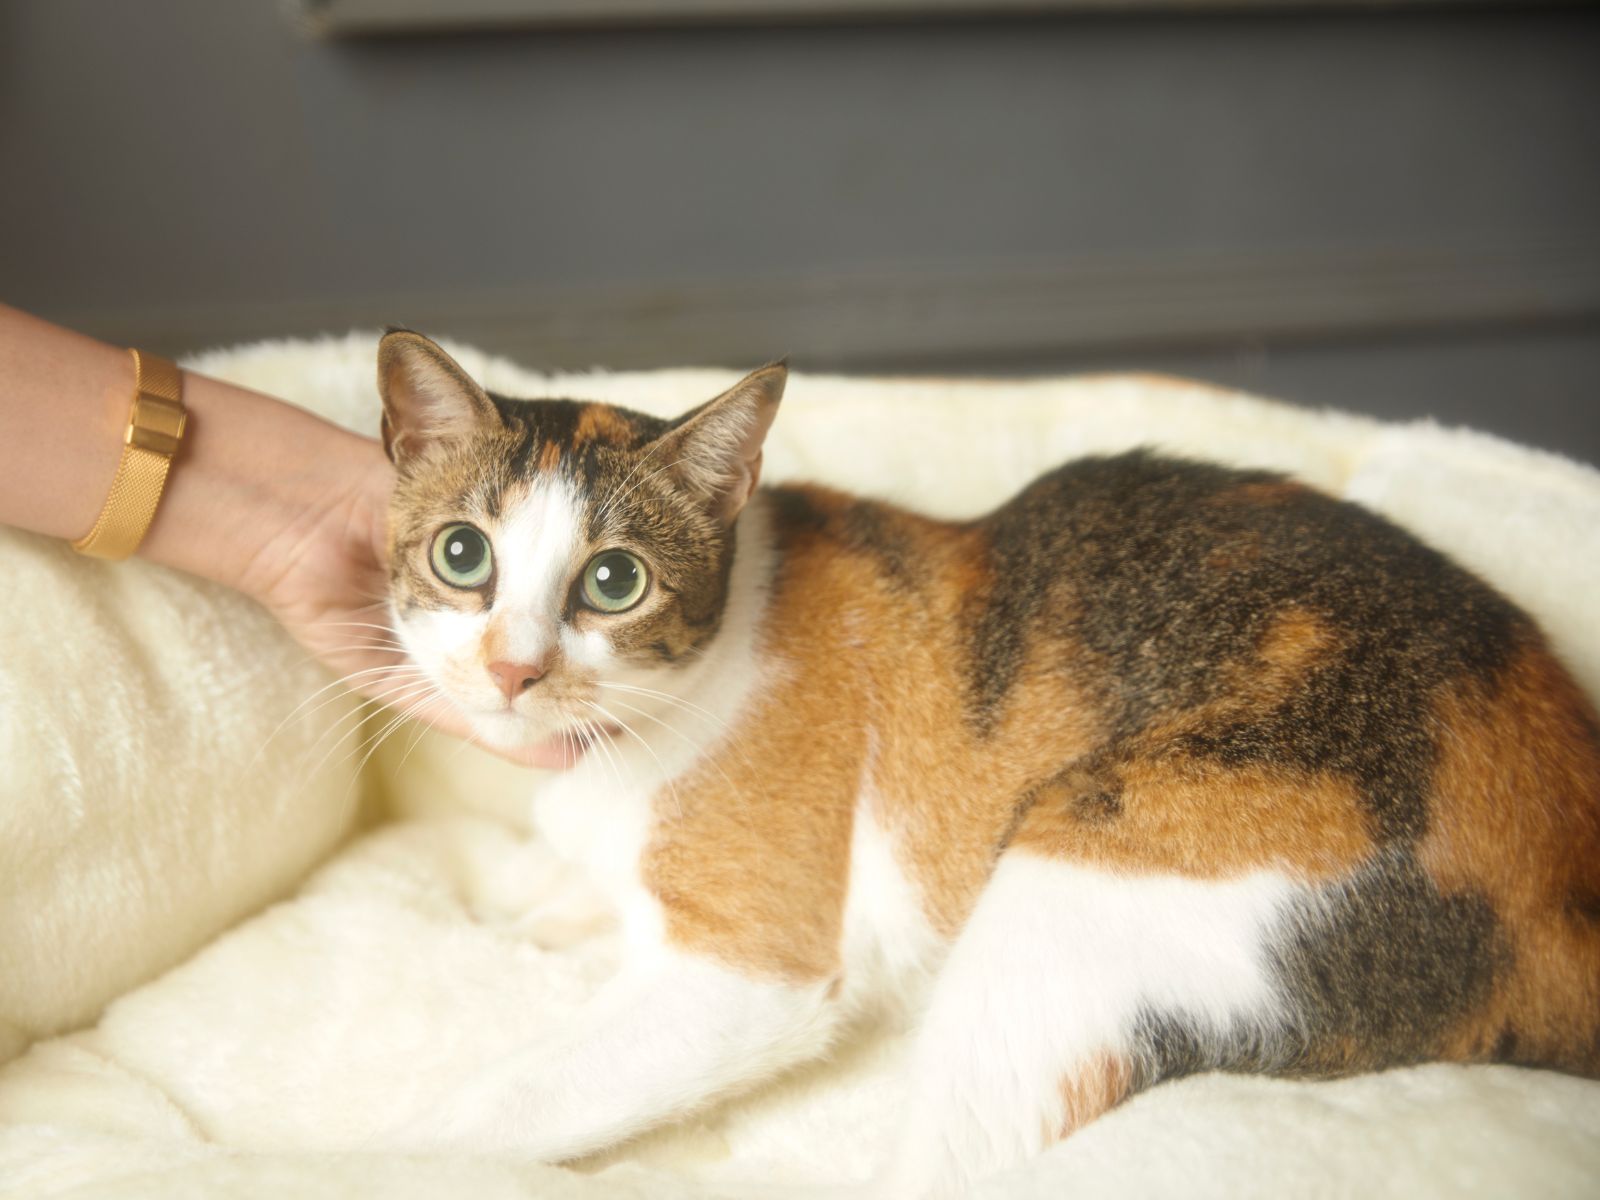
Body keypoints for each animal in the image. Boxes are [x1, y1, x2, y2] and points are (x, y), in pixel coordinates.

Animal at [371, 331, 1600, 1200]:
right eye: (462, 555)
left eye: (614, 581)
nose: (514, 667)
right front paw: (524, 905)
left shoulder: (744, 976)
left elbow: (491, 1106)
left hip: (1076, 878)